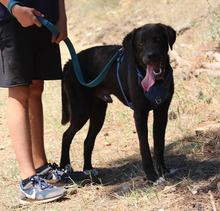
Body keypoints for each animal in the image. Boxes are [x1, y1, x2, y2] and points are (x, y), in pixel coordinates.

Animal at [59, 22, 176, 182]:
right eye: (140, 43)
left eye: (158, 39)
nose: (151, 55)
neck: (156, 83)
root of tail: (70, 63)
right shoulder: (140, 114)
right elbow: (144, 147)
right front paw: (152, 176)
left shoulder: (162, 112)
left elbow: (159, 144)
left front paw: (163, 170)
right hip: (81, 111)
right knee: (66, 135)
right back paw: (64, 167)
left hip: (98, 114)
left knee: (87, 141)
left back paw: (88, 169)